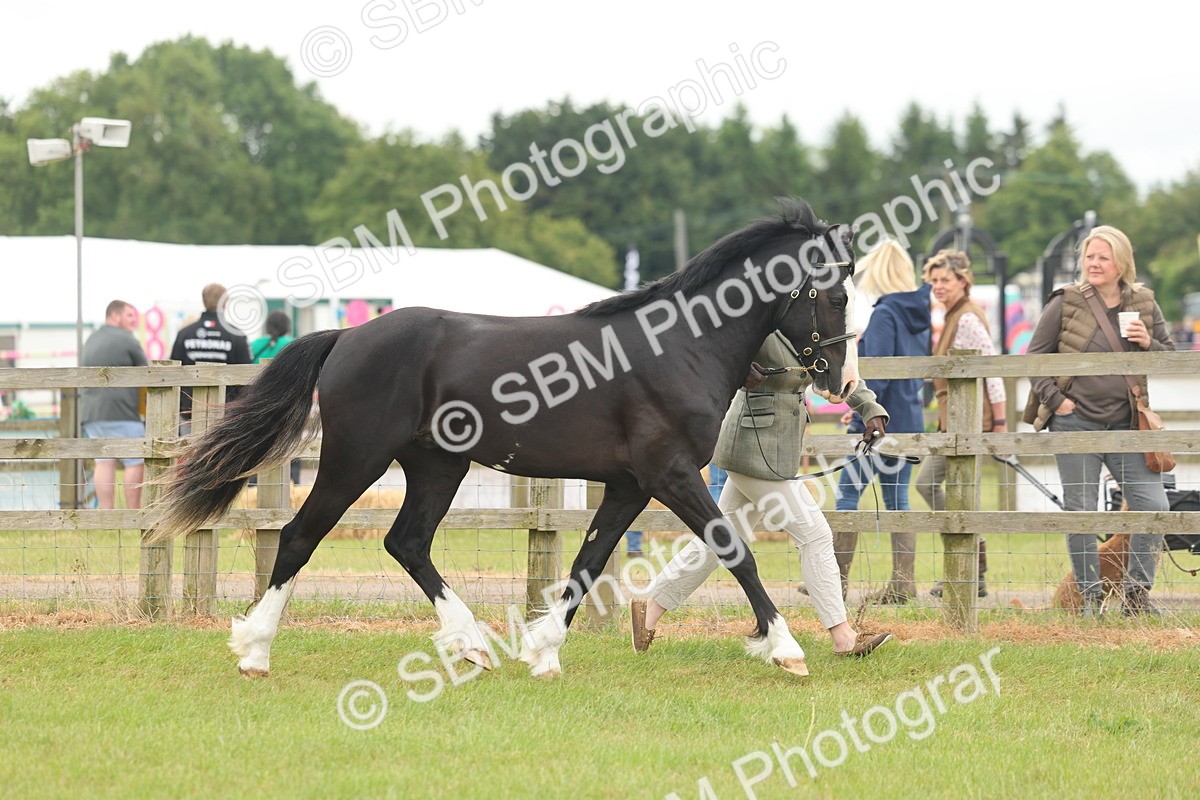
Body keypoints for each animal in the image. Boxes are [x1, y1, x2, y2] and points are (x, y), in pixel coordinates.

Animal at [148, 197, 860, 679]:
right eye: (834, 295)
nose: (844, 379)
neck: (681, 346)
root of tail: (348, 335)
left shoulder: (629, 486)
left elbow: (587, 564)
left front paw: (543, 653)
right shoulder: (672, 474)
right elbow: (735, 551)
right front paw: (786, 649)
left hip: (437, 466)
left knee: (407, 542)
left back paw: (471, 643)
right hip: (358, 459)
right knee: (301, 536)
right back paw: (255, 651)